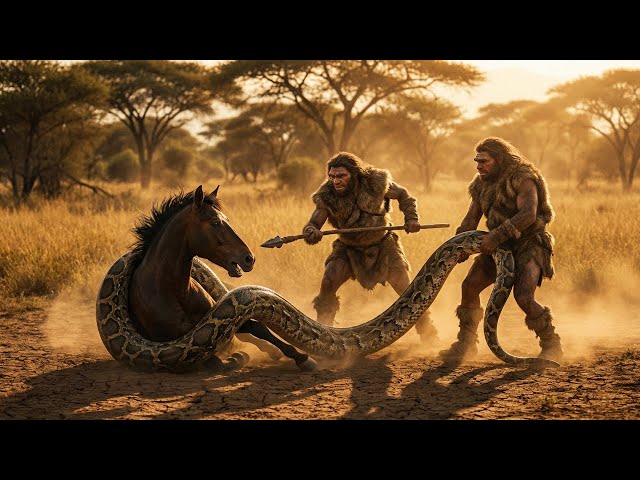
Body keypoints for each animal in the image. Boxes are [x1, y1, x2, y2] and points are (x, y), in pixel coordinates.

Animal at [127, 185, 312, 371]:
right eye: (215, 223)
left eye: (227, 220)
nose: (249, 258)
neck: (176, 292)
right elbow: (216, 362)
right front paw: (237, 357)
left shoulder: (221, 316)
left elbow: (257, 327)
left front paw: (300, 357)